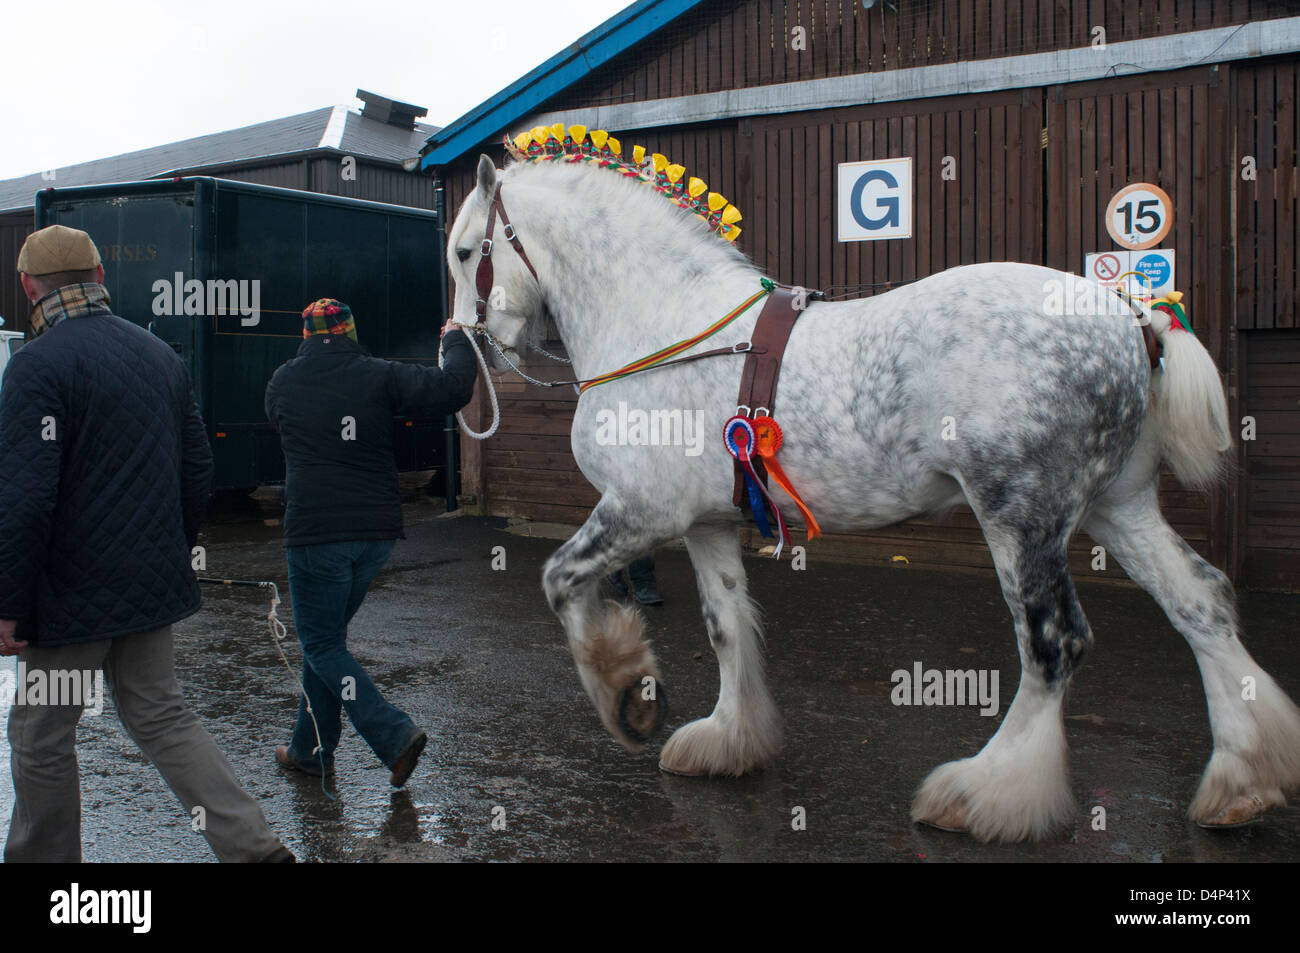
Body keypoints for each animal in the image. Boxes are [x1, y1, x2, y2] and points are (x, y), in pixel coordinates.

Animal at [444, 148, 1300, 842]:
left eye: (461, 251)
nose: (465, 346)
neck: (666, 327)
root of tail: (1129, 319)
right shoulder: (705, 523)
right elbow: (727, 627)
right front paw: (728, 737)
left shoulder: (639, 511)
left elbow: (560, 579)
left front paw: (627, 695)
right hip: (1116, 507)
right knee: (1200, 603)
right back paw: (1244, 780)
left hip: (1022, 516)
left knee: (1055, 643)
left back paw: (985, 792)